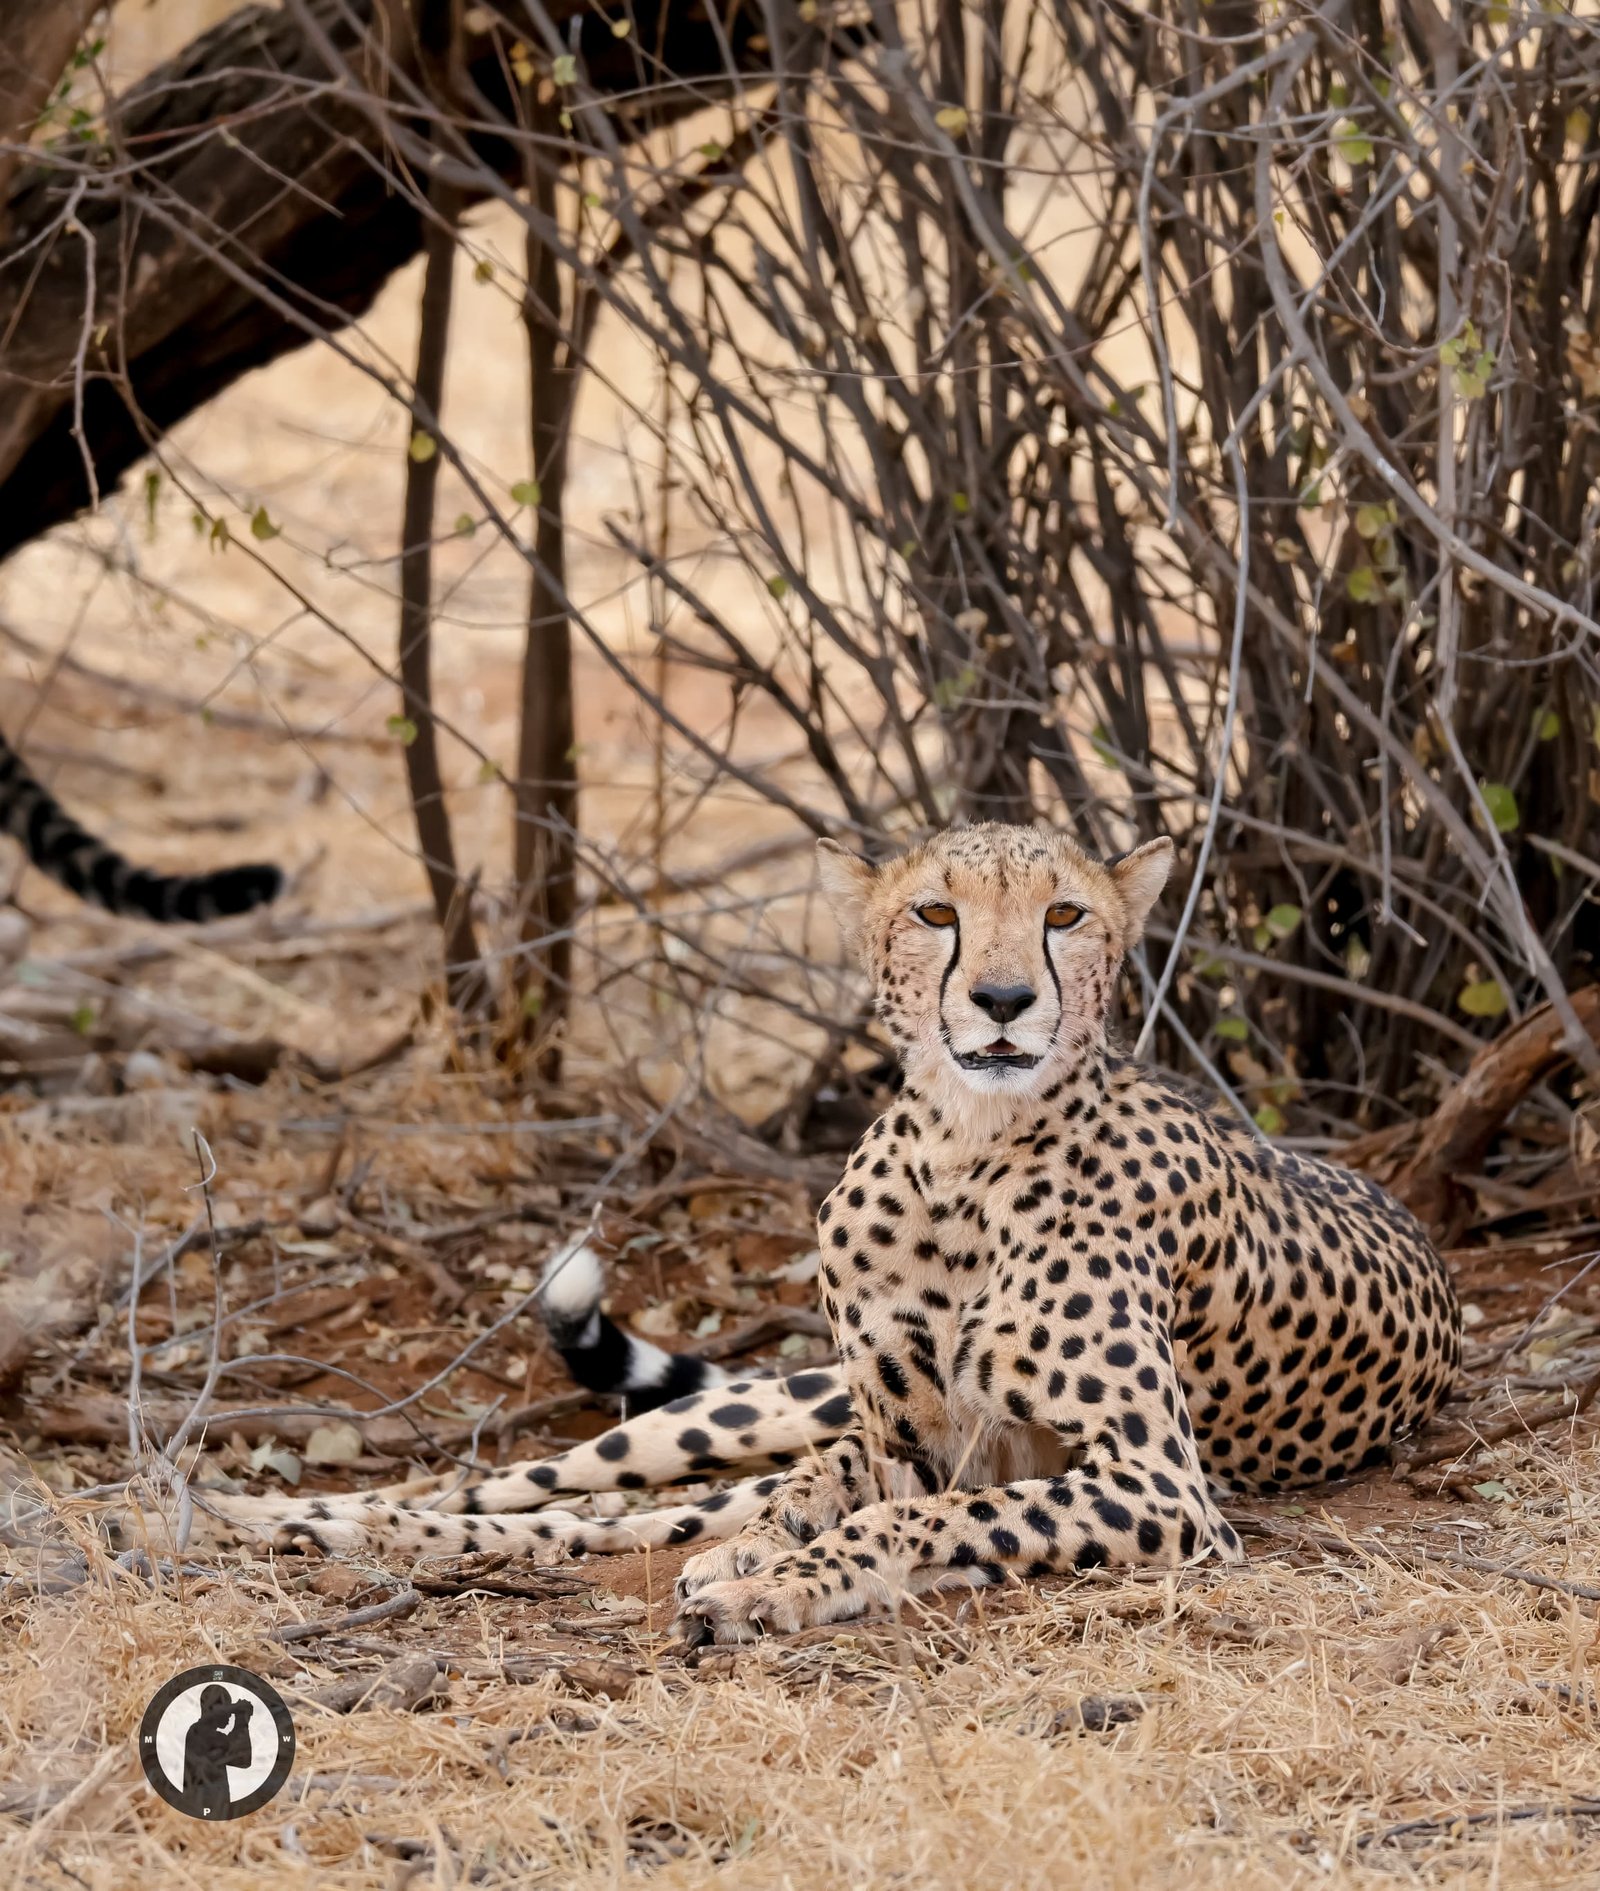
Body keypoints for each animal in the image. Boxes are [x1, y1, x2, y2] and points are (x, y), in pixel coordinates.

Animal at [193, 822, 1461, 1645]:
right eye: (935, 913)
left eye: (1064, 916)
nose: (1004, 1001)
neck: (961, 1159)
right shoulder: (909, 1432)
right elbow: (865, 1492)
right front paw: (768, 1561)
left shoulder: (1158, 1482)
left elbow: (930, 1516)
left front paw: (774, 1584)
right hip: (740, 1412)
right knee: (551, 1486)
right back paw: (275, 1512)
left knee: (626, 1515)